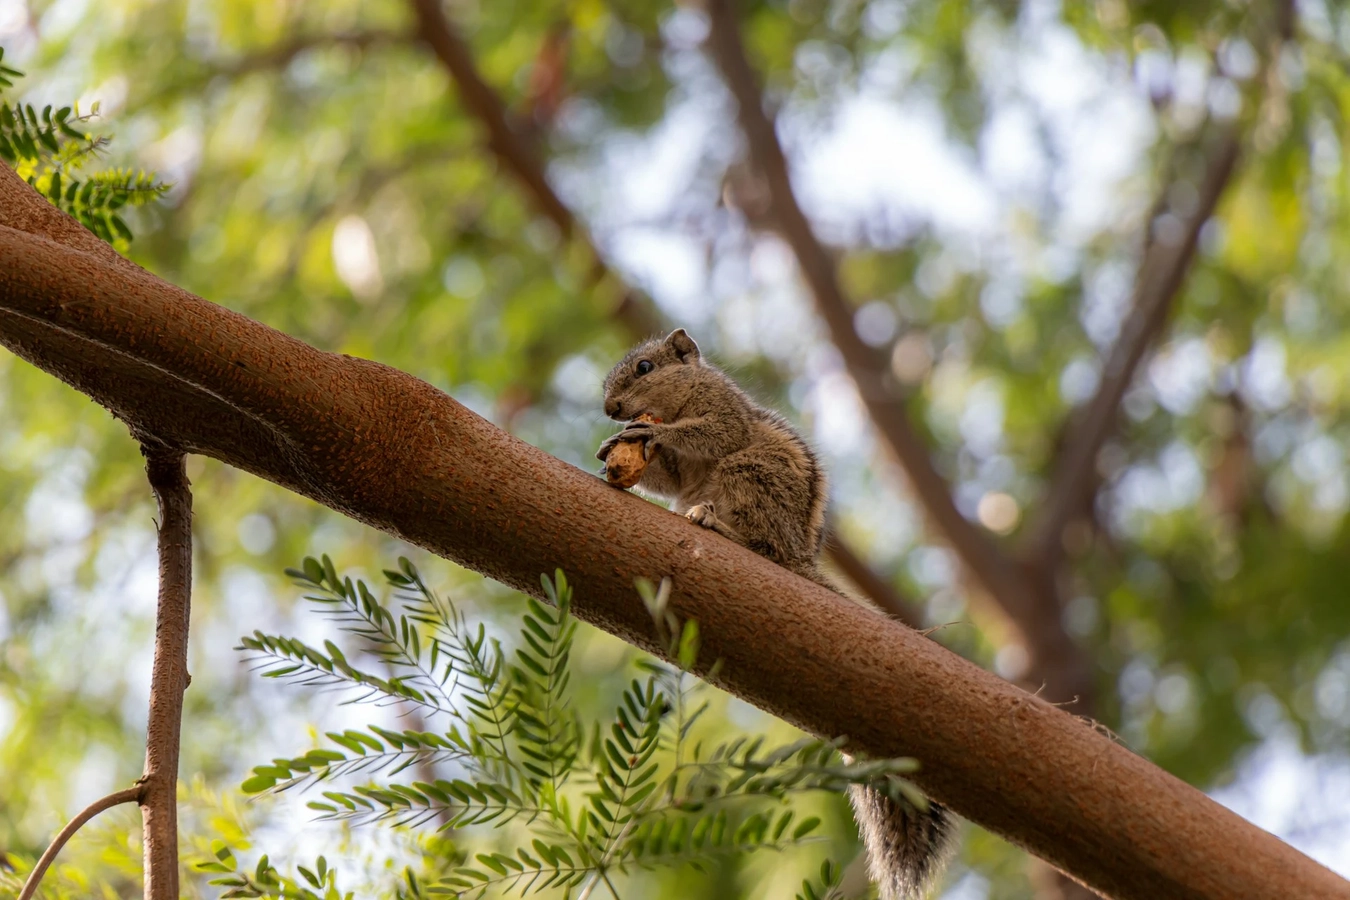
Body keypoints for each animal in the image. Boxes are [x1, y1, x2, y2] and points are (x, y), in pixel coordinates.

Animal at [596, 330, 955, 900]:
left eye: (646, 367)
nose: (610, 410)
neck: (681, 395)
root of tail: (796, 555)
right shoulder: (675, 467)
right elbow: (667, 476)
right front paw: (617, 448)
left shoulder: (723, 413)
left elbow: (710, 433)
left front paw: (649, 432)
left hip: (750, 474)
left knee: (758, 541)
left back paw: (718, 525)